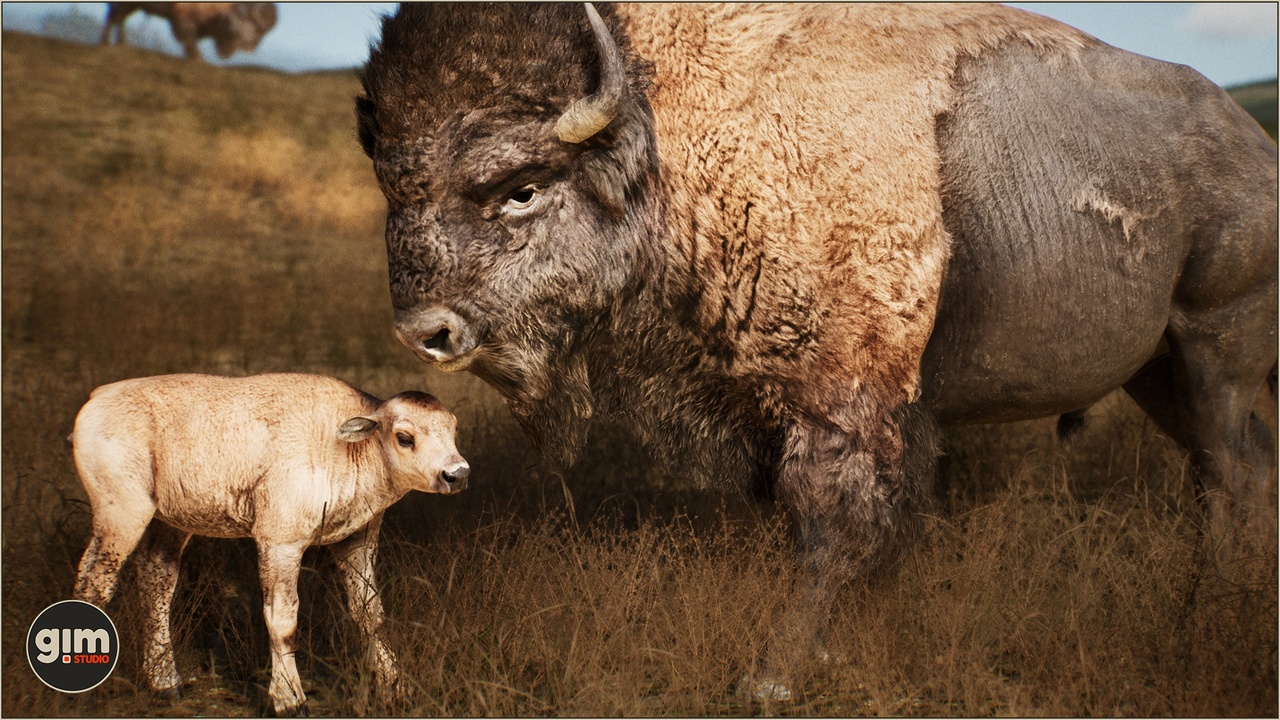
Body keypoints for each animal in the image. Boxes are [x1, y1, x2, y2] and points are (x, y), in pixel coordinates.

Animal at [356, 3, 1277, 697]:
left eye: (521, 189)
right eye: (392, 189)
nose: (426, 330)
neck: (669, 135)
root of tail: (1255, 147)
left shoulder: (844, 394)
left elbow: (832, 522)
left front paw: (773, 676)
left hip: (1214, 346)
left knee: (1229, 471)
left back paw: (1203, 621)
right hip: (1157, 372)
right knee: (1239, 466)